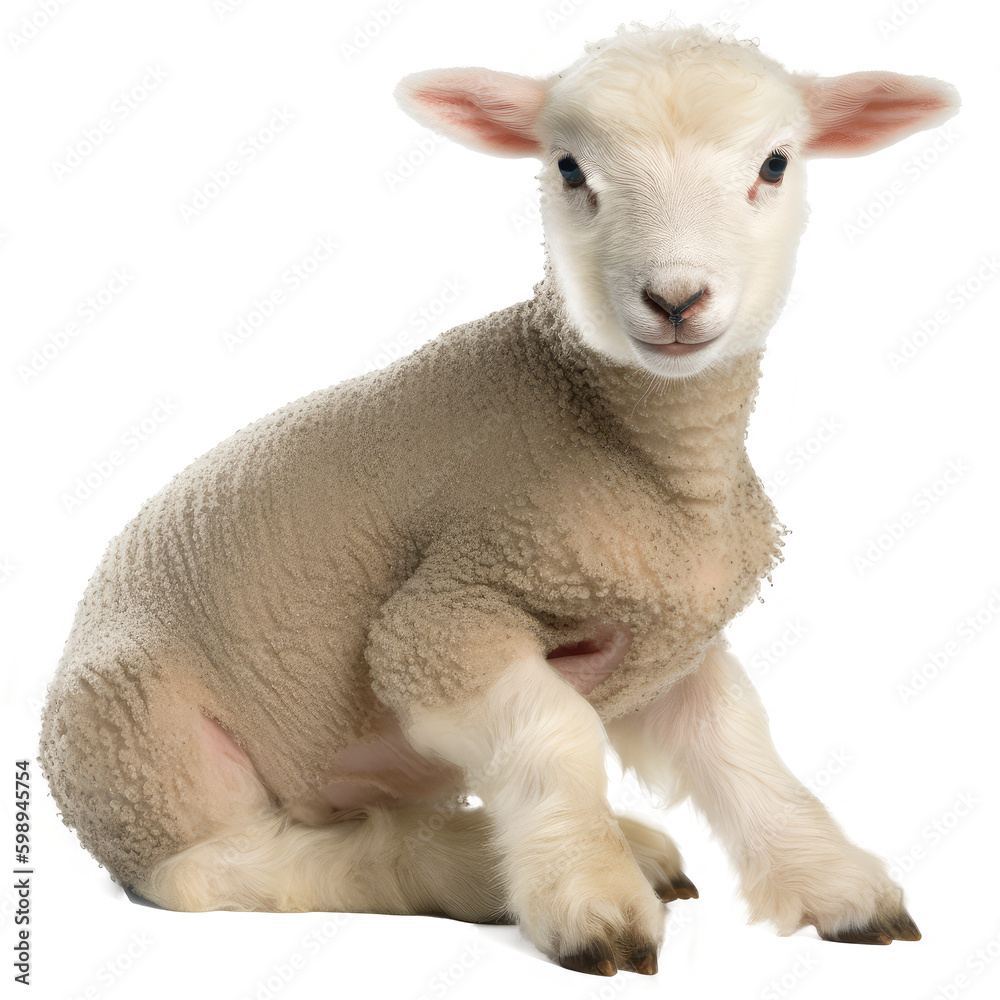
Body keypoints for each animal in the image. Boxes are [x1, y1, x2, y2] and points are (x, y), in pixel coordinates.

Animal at [38, 21, 959, 977]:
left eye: (776, 163)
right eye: (570, 168)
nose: (675, 299)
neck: (652, 458)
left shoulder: (671, 639)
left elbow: (741, 747)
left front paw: (835, 885)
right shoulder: (445, 613)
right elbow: (552, 735)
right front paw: (593, 902)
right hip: (145, 743)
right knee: (212, 868)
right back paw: (459, 865)